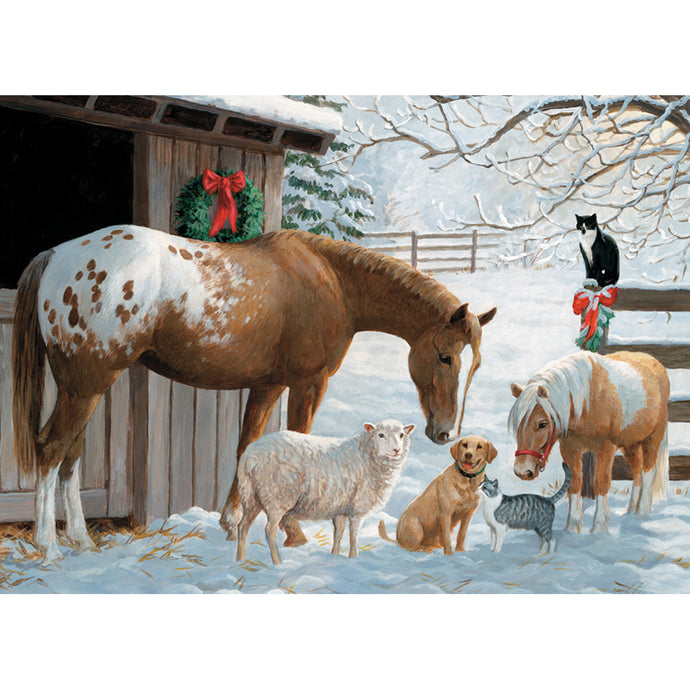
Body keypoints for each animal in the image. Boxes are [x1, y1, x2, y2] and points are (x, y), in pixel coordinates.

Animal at [231, 416, 414, 560]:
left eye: (401, 435)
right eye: (381, 435)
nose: (396, 450)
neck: (367, 453)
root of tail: (250, 455)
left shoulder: (341, 508)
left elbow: (338, 534)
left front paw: (335, 556)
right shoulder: (358, 507)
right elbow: (353, 535)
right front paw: (354, 558)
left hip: (251, 495)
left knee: (242, 526)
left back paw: (240, 560)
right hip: (277, 496)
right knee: (269, 530)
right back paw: (277, 563)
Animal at [506, 350, 668, 532]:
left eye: (542, 424)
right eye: (517, 424)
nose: (522, 471)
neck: (586, 402)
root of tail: (653, 361)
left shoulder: (605, 448)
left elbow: (601, 482)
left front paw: (599, 528)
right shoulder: (569, 449)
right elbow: (574, 483)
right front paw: (572, 527)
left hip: (653, 438)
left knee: (648, 473)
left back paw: (642, 513)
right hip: (630, 444)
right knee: (637, 474)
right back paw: (631, 511)